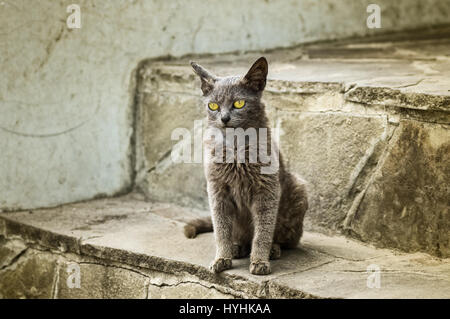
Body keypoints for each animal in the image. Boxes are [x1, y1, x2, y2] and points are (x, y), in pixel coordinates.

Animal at [185, 57, 308, 276]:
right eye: (213, 105)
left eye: (239, 103)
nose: (224, 118)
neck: (236, 147)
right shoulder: (217, 189)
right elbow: (221, 229)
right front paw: (221, 258)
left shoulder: (267, 189)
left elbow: (263, 231)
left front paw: (259, 261)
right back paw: (237, 248)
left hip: (298, 189)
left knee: (287, 241)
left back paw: (273, 249)